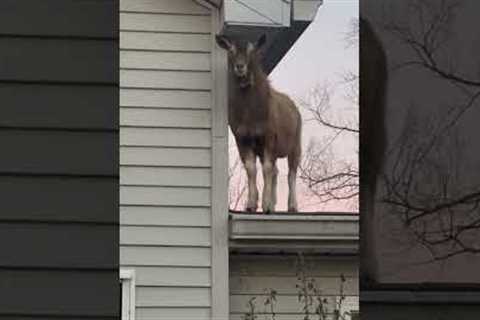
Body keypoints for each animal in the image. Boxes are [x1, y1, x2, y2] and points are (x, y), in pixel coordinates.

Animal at [217, 33, 302, 214]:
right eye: (231, 50)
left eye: (252, 50)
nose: (240, 66)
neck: (250, 115)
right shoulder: (241, 137)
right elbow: (251, 168)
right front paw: (251, 204)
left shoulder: (268, 136)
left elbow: (267, 169)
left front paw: (266, 205)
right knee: (276, 171)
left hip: (295, 144)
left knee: (291, 172)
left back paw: (292, 205)